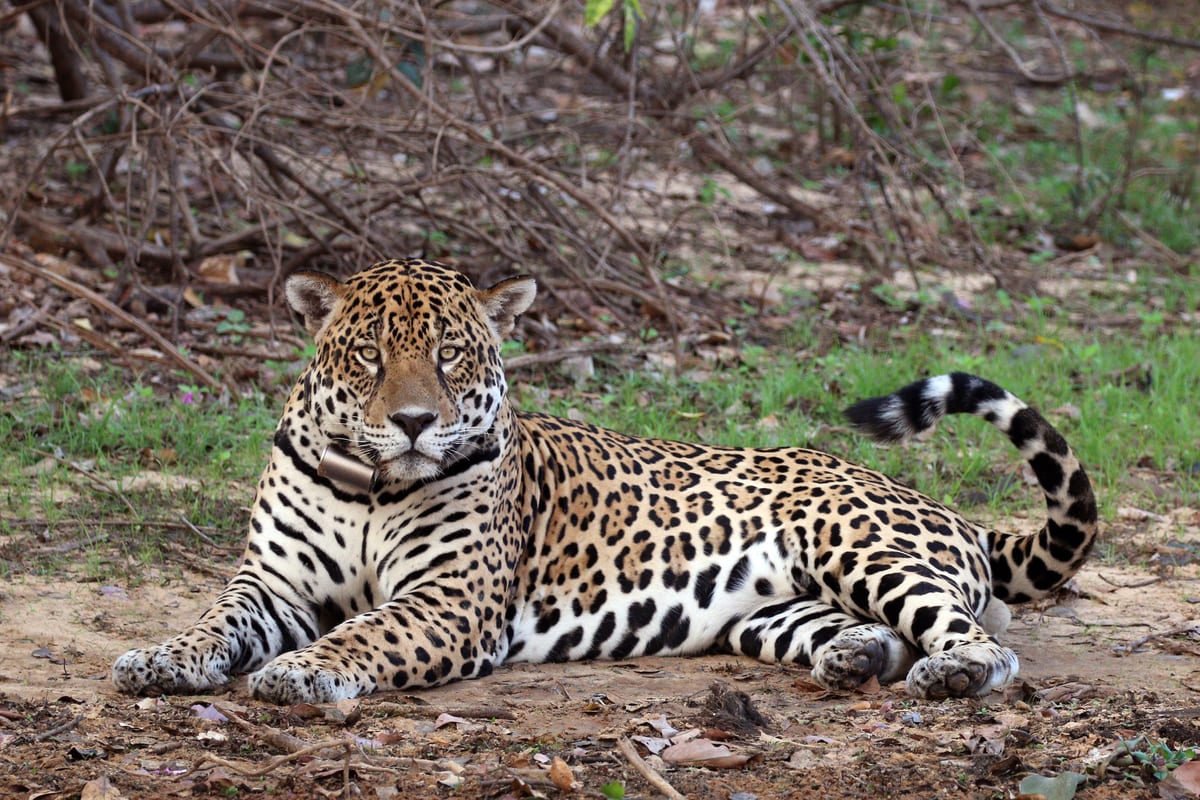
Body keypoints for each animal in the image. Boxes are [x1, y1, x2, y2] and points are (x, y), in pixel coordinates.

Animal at [112, 258, 1098, 705]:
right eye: (369, 356)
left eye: (450, 355)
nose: (415, 421)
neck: (372, 484)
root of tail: (951, 512)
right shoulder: (272, 584)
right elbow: (214, 619)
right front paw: (159, 657)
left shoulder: (447, 603)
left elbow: (364, 633)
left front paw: (300, 670)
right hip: (775, 610)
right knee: (879, 632)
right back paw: (856, 656)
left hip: (861, 547)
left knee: (983, 640)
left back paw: (949, 675)